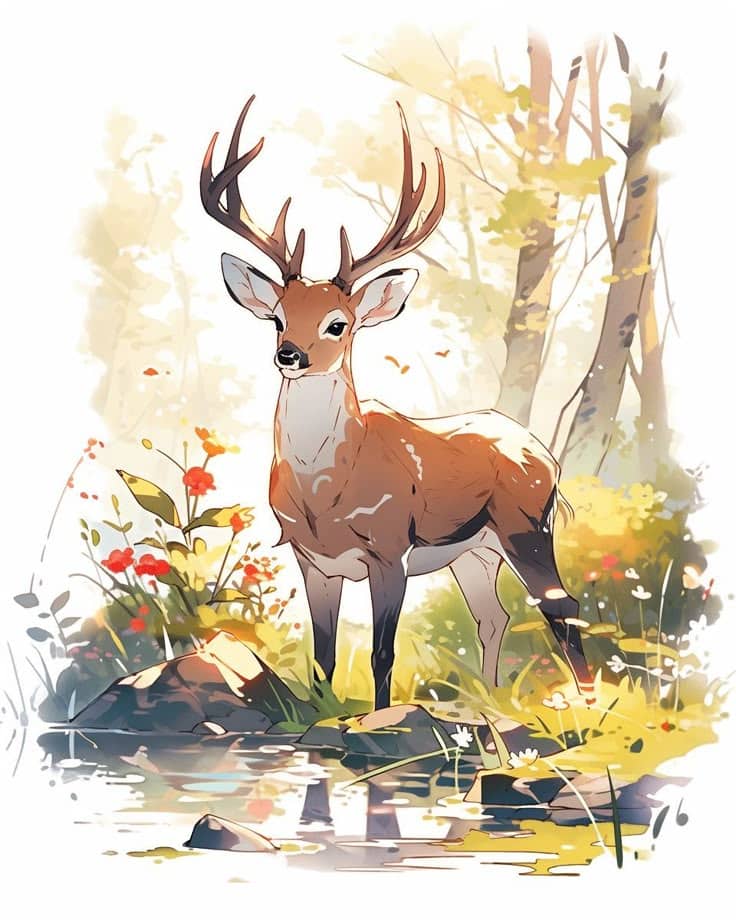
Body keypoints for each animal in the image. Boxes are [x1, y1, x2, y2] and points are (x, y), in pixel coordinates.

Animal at [201, 96, 595, 712]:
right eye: (278, 318)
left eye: (338, 323)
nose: (290, 355)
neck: (327, 499)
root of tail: (546, 454)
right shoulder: (312, 561)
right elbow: (324, 656)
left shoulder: (390, 550)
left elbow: (382, 653)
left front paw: (379, 718)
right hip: (475, 551)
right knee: (494, 617)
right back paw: (489, 699)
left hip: (526, 525)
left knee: (563, 607)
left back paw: (587, 702)